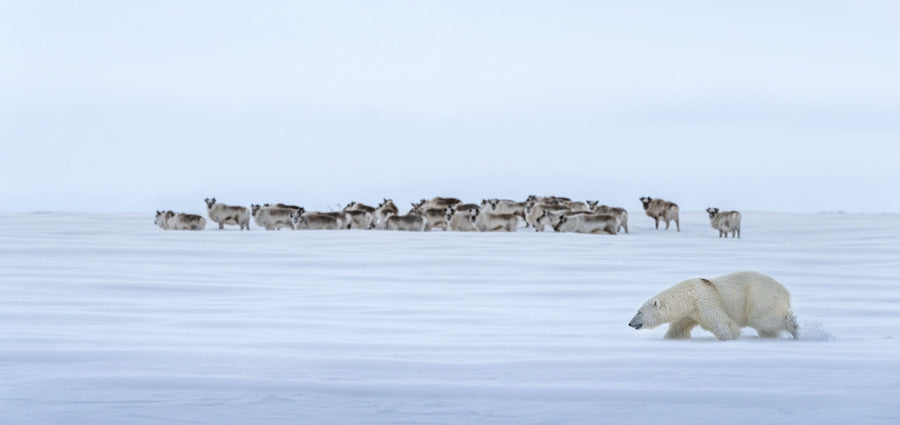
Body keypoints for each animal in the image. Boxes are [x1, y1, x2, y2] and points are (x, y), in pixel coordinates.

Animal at [627, 271, 798, 340]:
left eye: (639, 312)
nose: (630, 323)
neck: (687, 296)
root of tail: (786, 292)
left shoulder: (705, 300)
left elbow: (723, 324)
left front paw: (730, 338)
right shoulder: (690, 313)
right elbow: (679, 328)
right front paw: (670, 338)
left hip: (759, 299)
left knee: (766, 320)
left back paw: (795, 328)